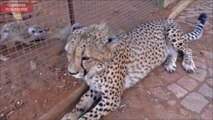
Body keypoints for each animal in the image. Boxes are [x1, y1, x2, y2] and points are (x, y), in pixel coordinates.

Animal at [62, 12, 207, 119]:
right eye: (68, 53)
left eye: (86, 57)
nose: (71, 73)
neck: (97, 68)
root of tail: (166, 18)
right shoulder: (95, 88)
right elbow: (82, 100)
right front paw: (70, 115)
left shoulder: (111, 99)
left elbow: (89, 115)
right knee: (175, 52)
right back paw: (170, 63)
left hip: (172, 34)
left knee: (187, 49)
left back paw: (188, 63)